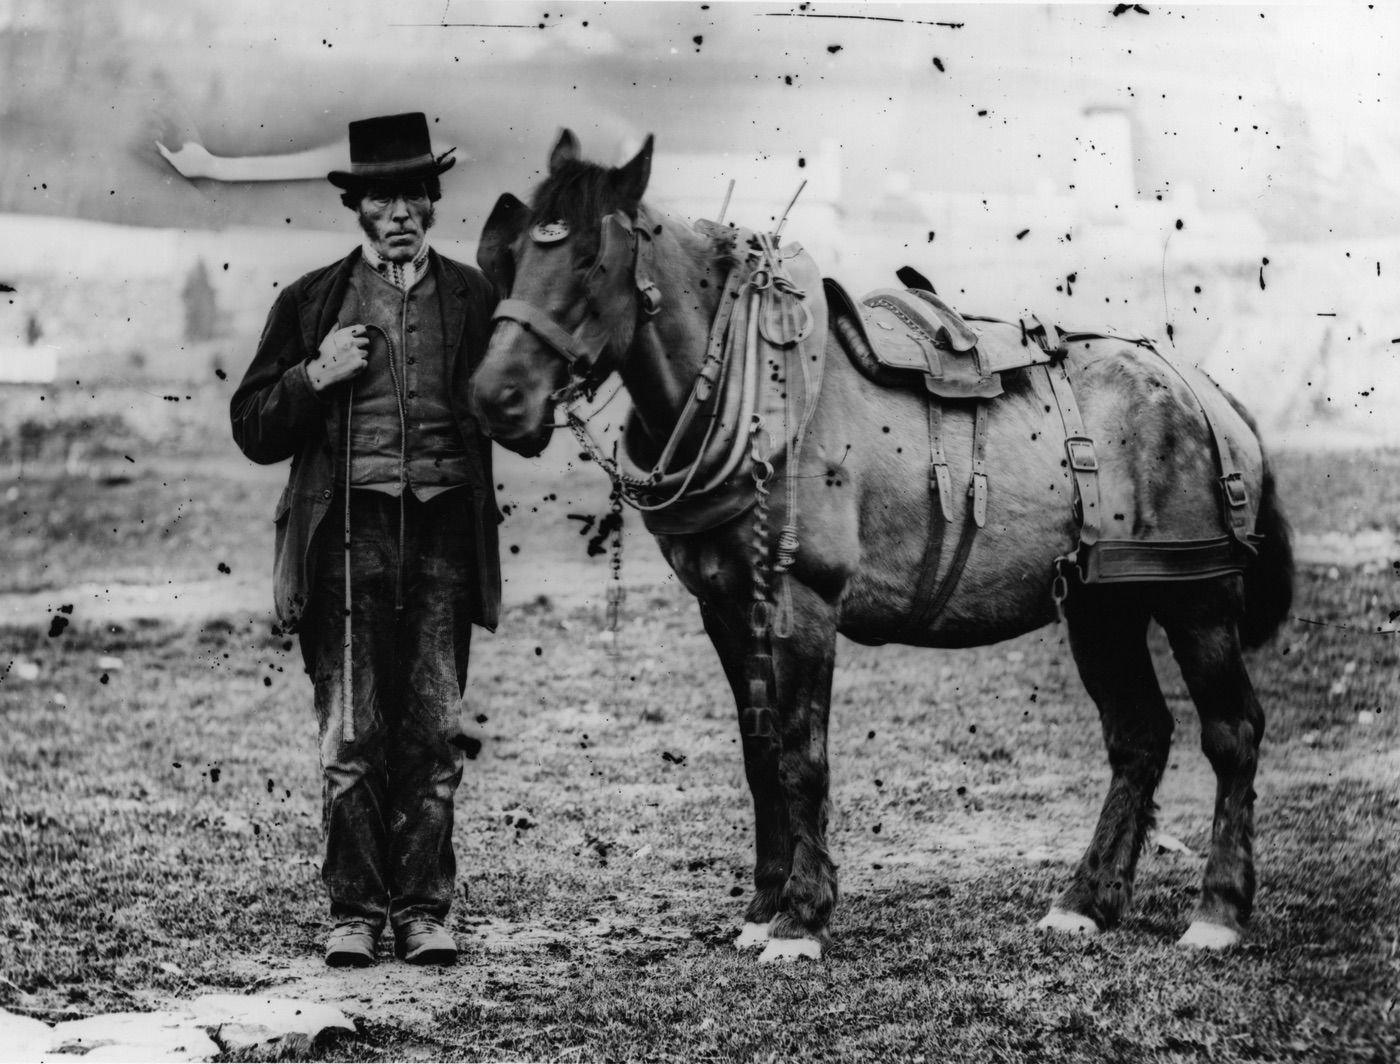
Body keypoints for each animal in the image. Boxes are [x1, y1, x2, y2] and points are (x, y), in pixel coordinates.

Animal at [467, 130, 1294, 962]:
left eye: (590, 261)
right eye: (511, 256)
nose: (495, 397)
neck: (762, 396)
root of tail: (1201, 387)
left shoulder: (803, 602)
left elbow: (801, 754)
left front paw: (801, 918)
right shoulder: (726, 607)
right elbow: (759, 754)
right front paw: (764, 904)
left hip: (1197, 600)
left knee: (1232, 734)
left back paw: (1218, 910)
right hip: (1103, 605)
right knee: (1139, 738)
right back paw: (1085, 901)